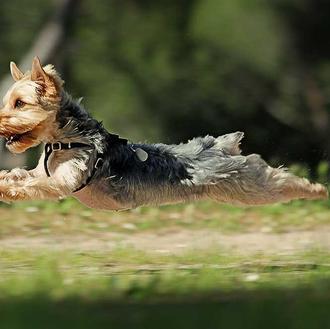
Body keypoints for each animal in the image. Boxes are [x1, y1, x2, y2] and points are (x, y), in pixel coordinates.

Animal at [0, 56, 328, 209]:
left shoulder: (64, 181)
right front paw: (6, 179)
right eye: (7, 102)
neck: (64, 139)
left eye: (20, 103)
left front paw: (7, 190)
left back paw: (318, 190)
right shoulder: (42, 172)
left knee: (280, 179)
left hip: (249, 184)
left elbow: (36, 186)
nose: (0, 123)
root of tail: (221, 145)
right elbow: (23, 176)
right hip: (236, 191)